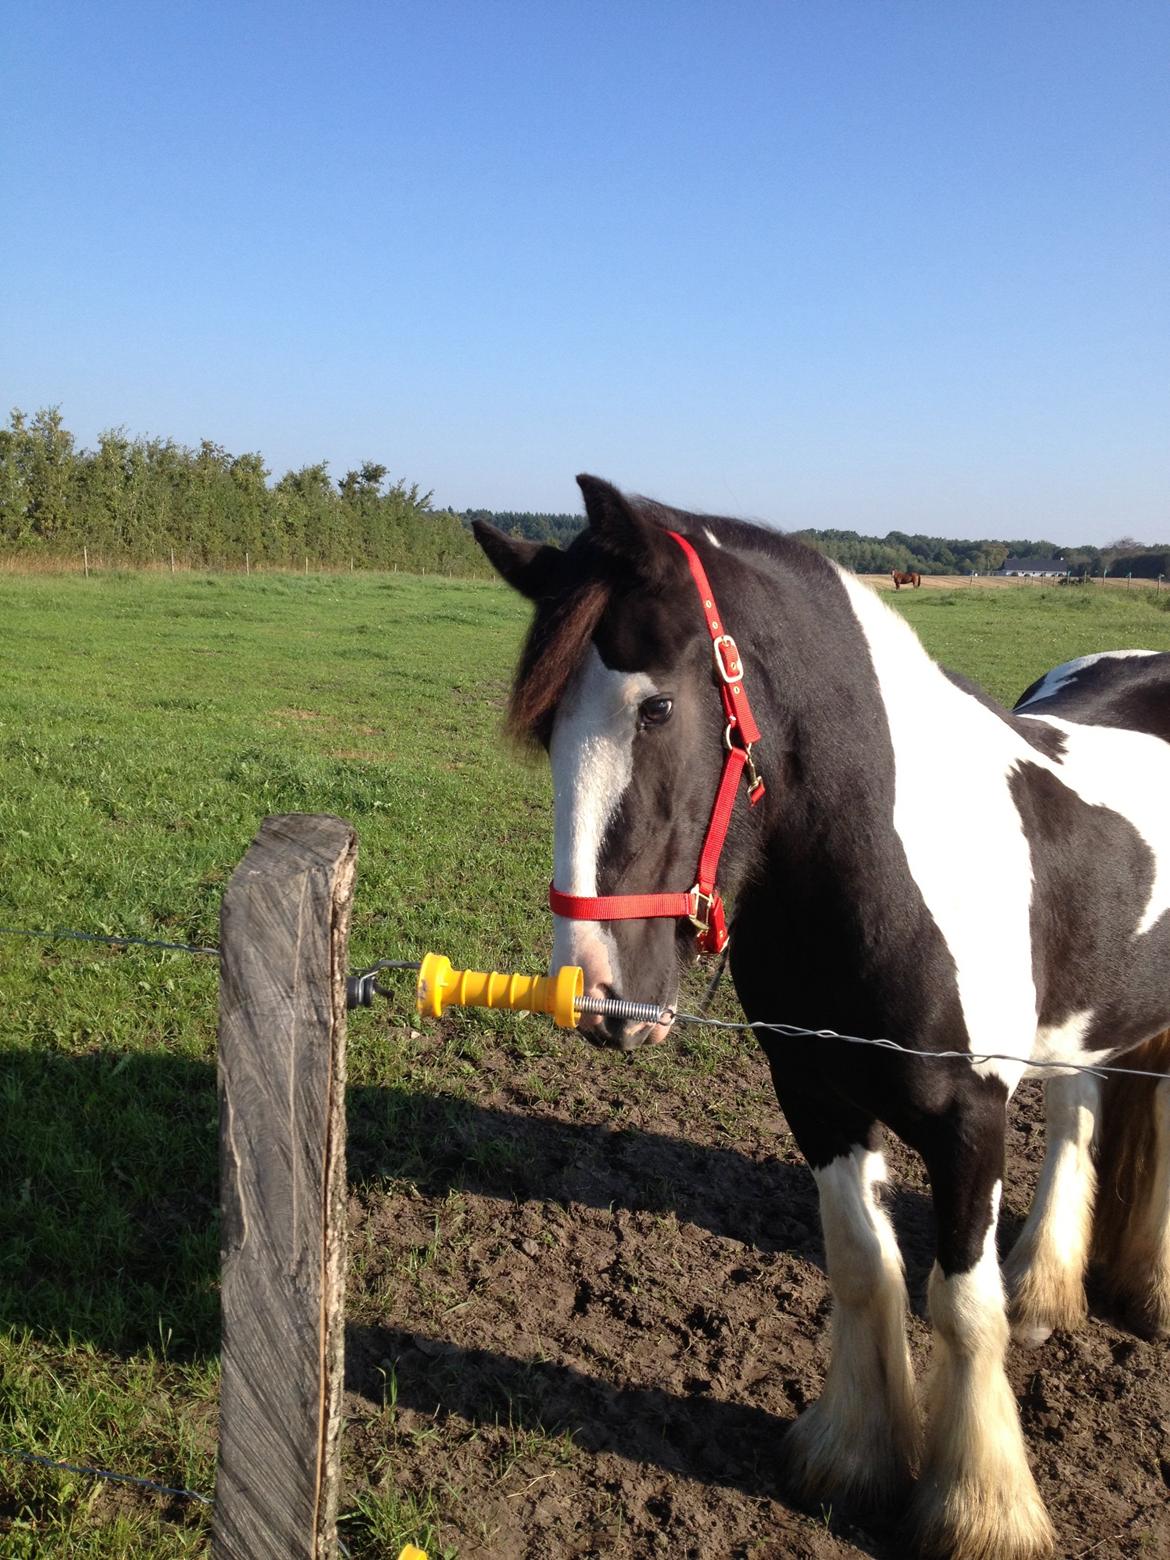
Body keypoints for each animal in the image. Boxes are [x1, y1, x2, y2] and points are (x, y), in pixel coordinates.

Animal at [474, 477, 1170, 1560]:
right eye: (547, 730)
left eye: (657, 707)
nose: (597, 993)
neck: (894, 861)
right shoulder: (816, 1095)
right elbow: (862, 1268)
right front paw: (854, 1458)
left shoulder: (968, 1119)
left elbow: (961, 1307)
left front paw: (979, 1511)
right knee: (1080, 1115)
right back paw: (1051, 1289)